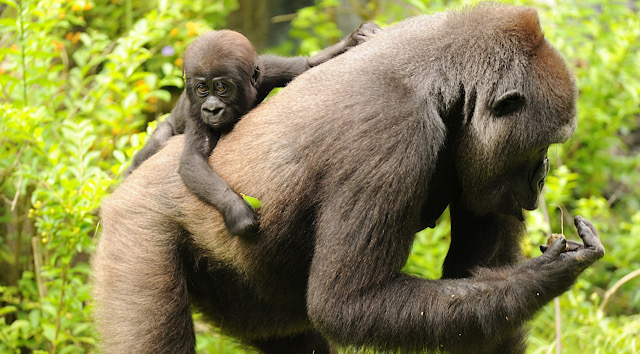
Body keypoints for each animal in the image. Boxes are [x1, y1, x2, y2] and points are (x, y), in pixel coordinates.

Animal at [127, 24, 378, 236]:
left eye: (221, 88)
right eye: (202, 89)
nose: (212, 109)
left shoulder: (266, 69)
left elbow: (306, 65)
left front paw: (353, 39)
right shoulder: (195, 112)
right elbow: (193, 160)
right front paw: (235, 210)